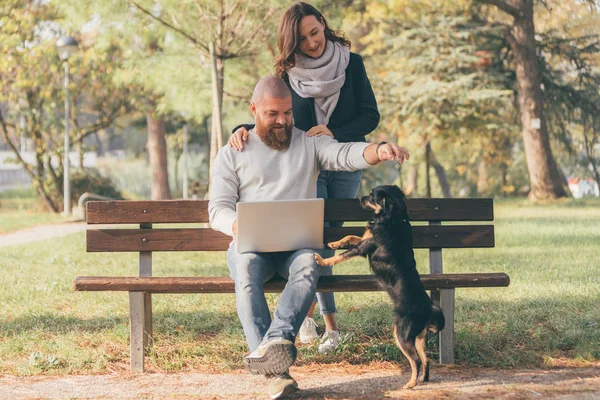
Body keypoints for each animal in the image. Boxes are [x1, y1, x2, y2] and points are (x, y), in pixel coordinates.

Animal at [314, 186, 446, 390]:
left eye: (372, 196)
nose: (359, 198)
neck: (394, 218)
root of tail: (429, 308)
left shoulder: (362, 248)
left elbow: (340, 256)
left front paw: (322, 260)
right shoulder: (364, 240)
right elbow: (351, 236)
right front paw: (335, 242)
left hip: (401, 333)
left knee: (415, 360)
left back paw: (410, 384)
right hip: (418, 338)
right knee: (425, 359)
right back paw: (423, 379)